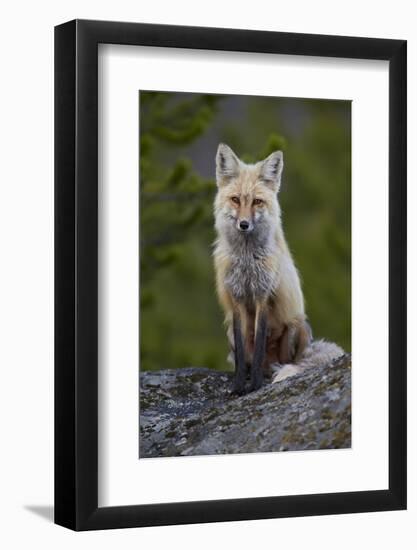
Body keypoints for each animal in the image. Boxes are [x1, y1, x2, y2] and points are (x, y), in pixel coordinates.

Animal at [213, 146, 342, 396]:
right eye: (235, 200)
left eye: (257, 202)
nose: (244, 224)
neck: (247, 260)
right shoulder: (236, 299)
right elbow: (243, 353)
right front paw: (239, 386)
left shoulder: (263, 295)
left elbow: (259, 344)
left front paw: (254, 386)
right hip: (229, 331)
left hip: (296, 324)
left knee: (286, 361)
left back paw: (271, 373)